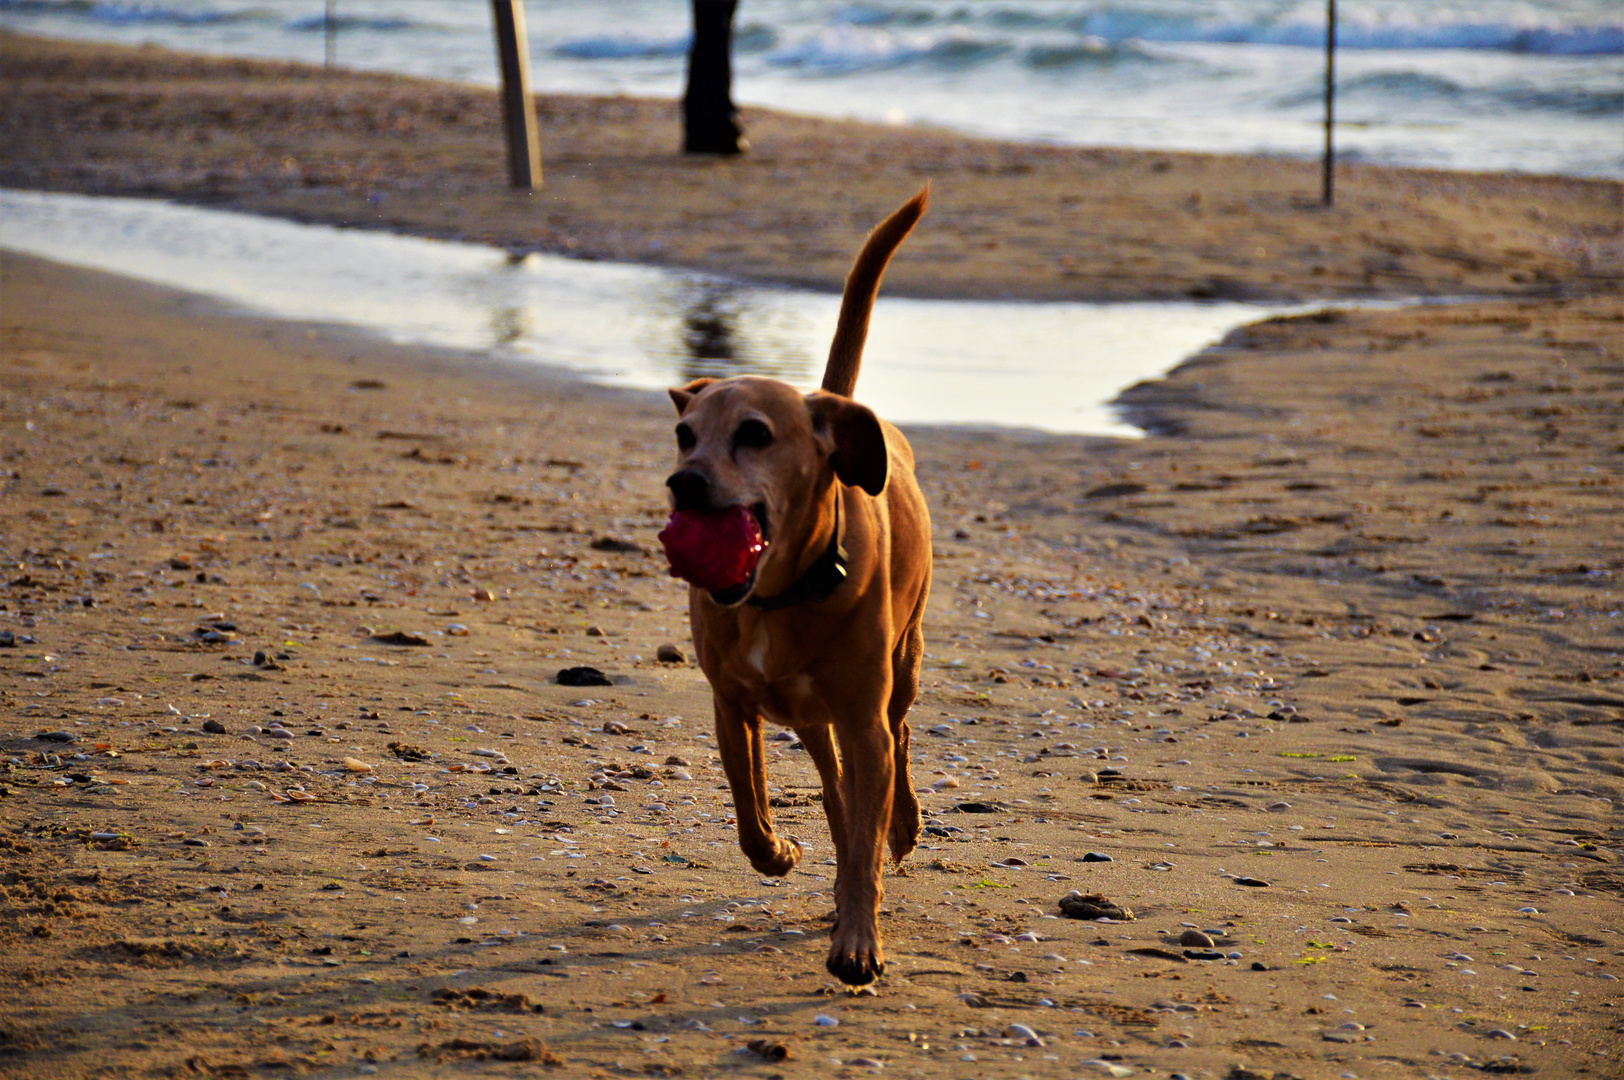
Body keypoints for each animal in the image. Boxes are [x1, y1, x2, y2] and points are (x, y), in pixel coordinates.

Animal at [665, 187, 935, 987]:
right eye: (684, 435)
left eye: (754, 434)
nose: (684, 483)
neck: (776, 597)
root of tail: (830, 401)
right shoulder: (731, 705)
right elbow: (749, 807)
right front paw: (779, 851)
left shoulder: (862, 719)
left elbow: (865, 830)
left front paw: (858, 940)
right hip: (812, 717)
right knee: (834, 786)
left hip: (899, 668)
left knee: (898, 739)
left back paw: (901, 826)